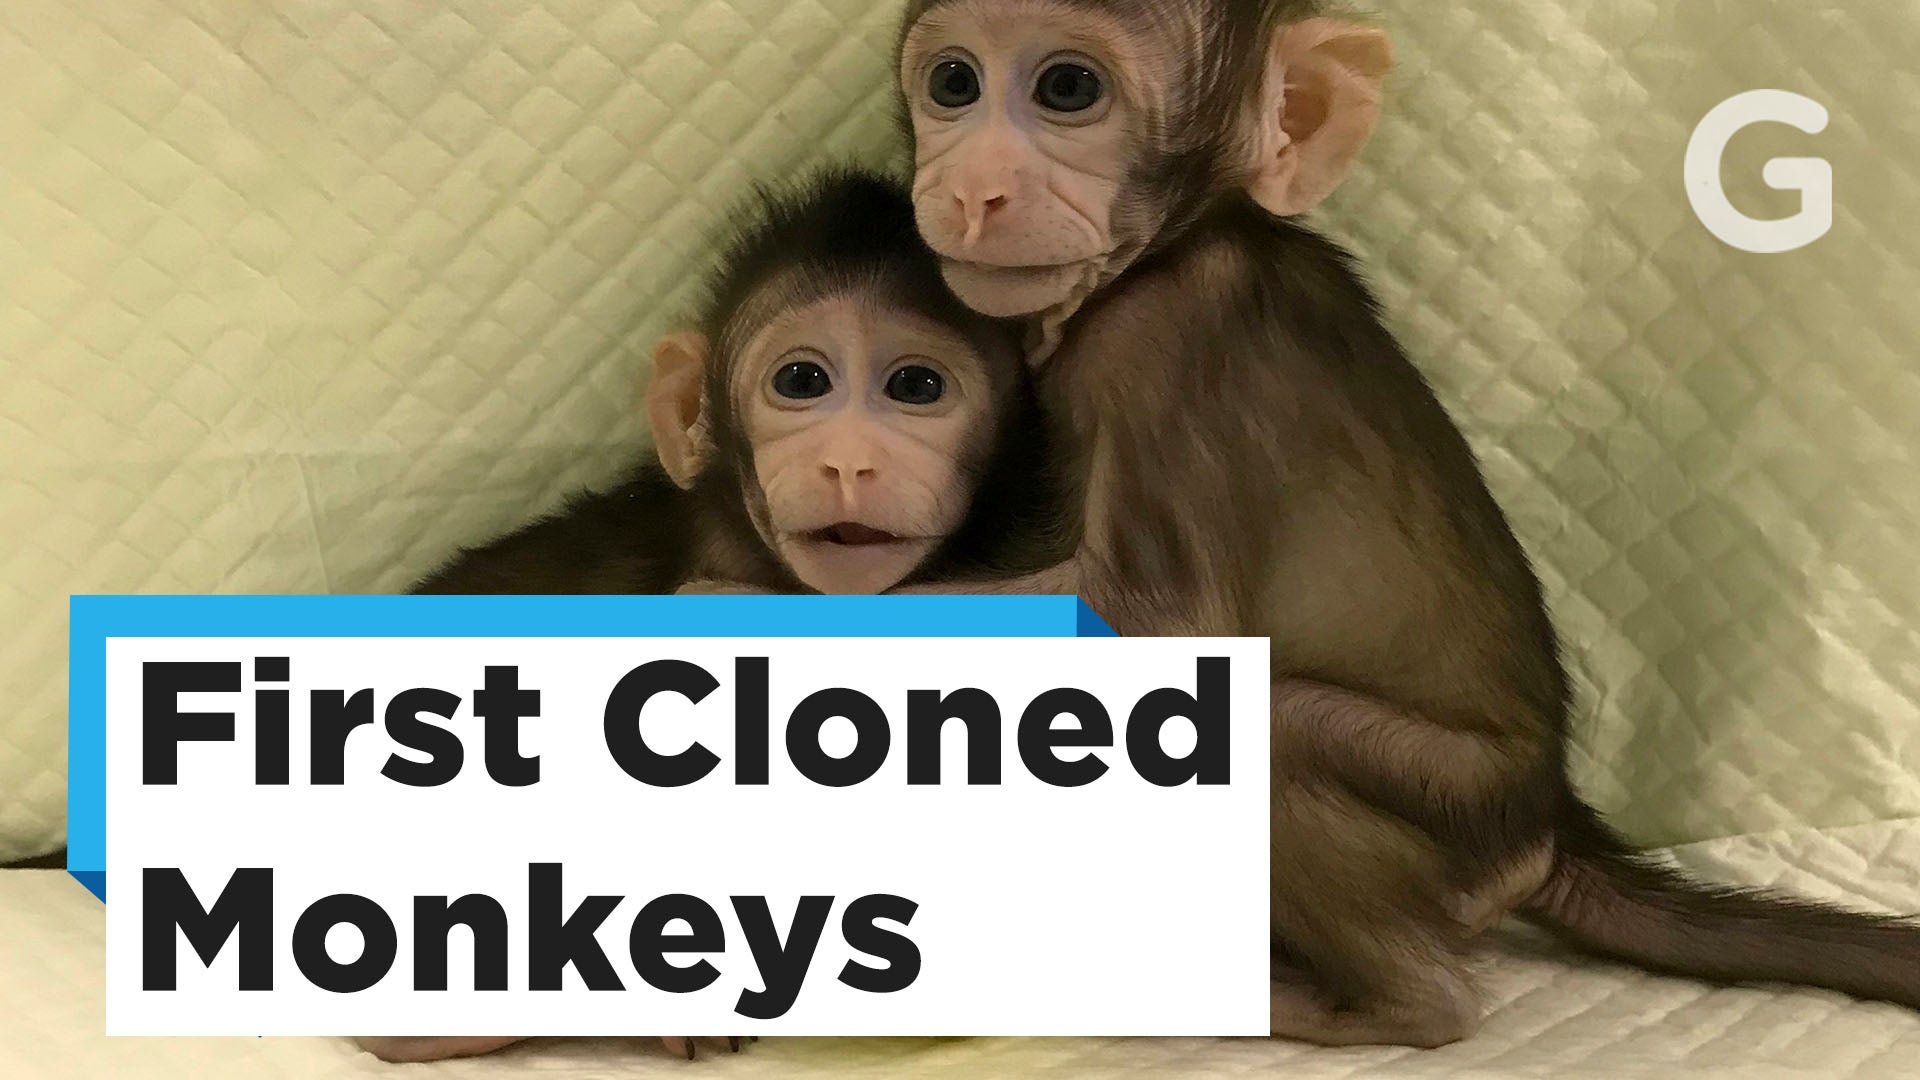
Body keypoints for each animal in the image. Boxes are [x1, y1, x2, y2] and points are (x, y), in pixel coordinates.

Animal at [893, 0, 1920, 1048]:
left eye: (1068, 88)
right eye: (953, 83)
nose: (971, 189)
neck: (1175, 245)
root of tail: (1549, 823)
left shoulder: (1170, 338)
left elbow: (1152, 620)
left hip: (1454, 806)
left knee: (1273, 727)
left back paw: (1368, 1002)